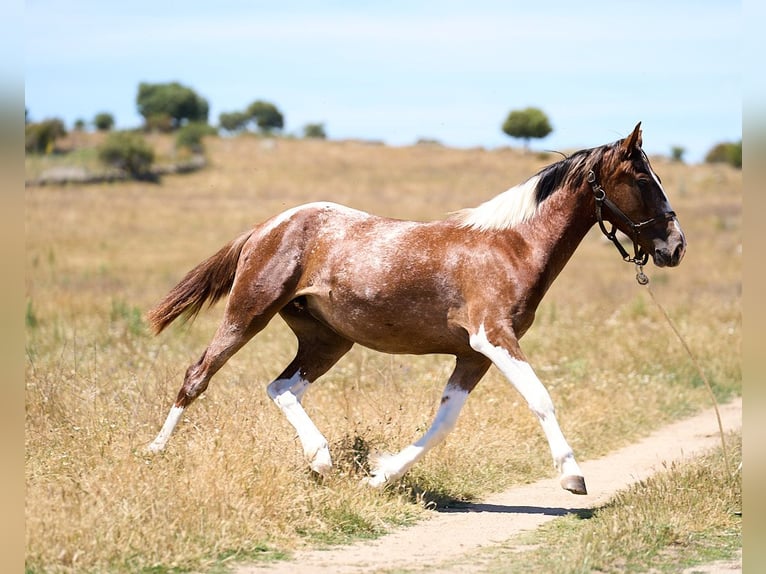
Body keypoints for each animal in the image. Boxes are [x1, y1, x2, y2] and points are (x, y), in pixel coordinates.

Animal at [147, 124, 688, 498]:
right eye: (642, 178)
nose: (675, 245)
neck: (512, 246)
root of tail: (268, 225)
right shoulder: (493, 337)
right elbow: (541, 399)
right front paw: (573, 477)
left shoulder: (472, 354)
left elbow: (443, 423)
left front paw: (379, 476)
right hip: (248, 313)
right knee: (198, 374)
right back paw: (155, 451)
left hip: (328, 339)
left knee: (281, 388)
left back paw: (321, 459)